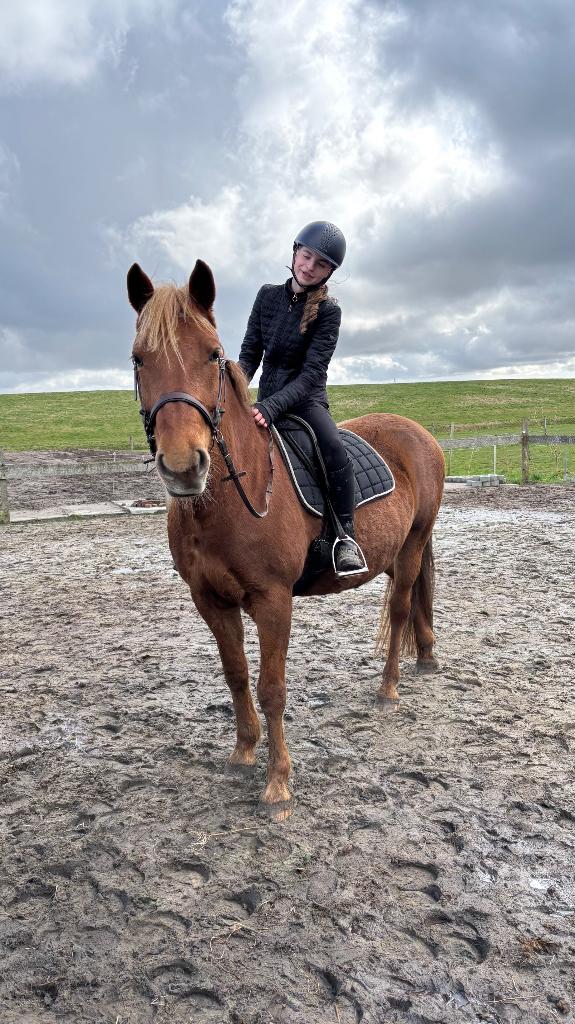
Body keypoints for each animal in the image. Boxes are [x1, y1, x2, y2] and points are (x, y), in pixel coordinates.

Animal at [127, 259, 445, 817]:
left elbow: (272, 686)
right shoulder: (210, 600)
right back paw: (422, 657)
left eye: (213, 354)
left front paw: (278, 784)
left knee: (401, 608)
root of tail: (417, 432)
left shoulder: (274, 601)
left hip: (410, 547)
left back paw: (389, 688)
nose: (184, 466)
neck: (230, 500)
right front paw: (243, 752)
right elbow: (235, 675)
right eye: (139, 359)